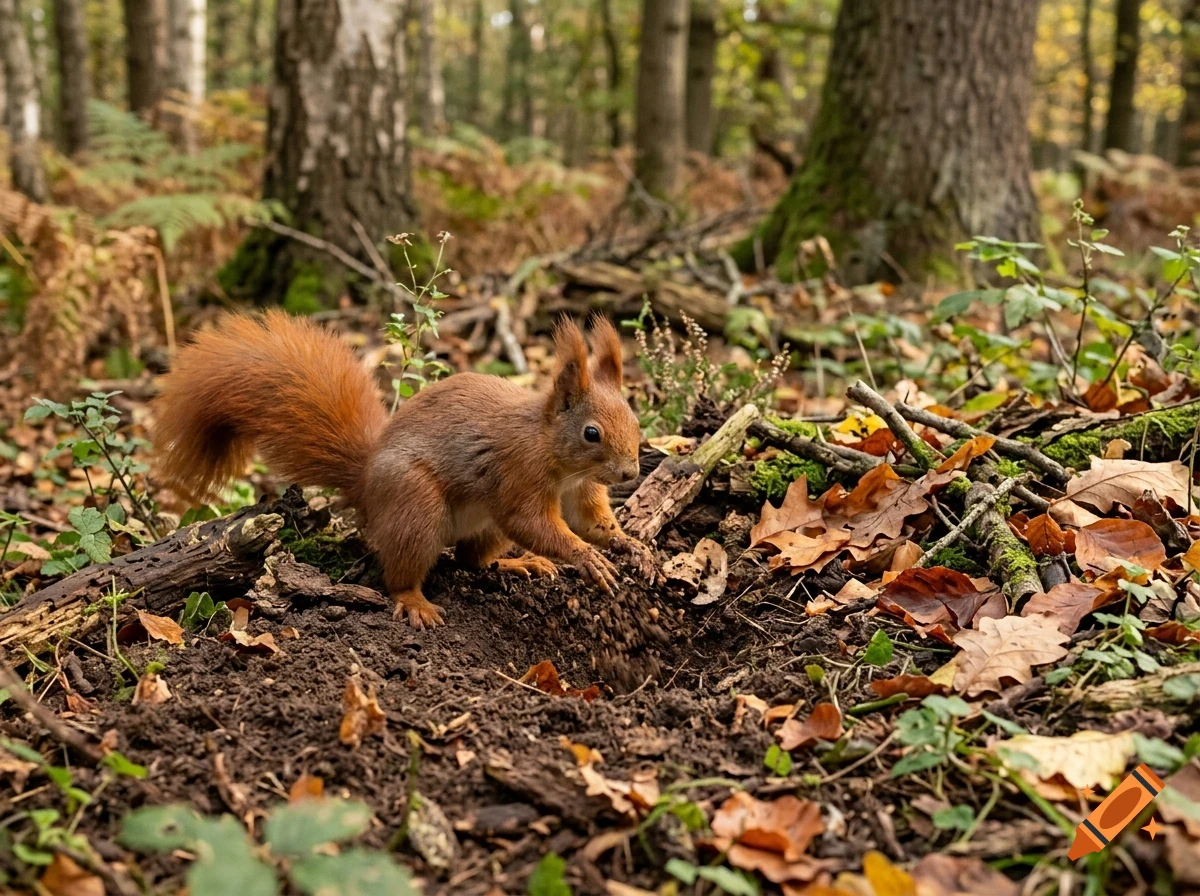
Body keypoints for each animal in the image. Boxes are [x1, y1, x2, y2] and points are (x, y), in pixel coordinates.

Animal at [151, 310, 658, 628]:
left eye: (635, 419)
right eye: (591, 433)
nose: (629, 473)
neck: (555, 453)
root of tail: (364, 483)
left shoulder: (582, 489)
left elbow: (589, 522)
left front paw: (629, 545)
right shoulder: (518, 473)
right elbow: (534, 523)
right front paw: (585, 557)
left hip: (480, 525)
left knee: (473, 560)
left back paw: (518, 564)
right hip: (415, 504)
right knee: (400, 573)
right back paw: (415, 601)